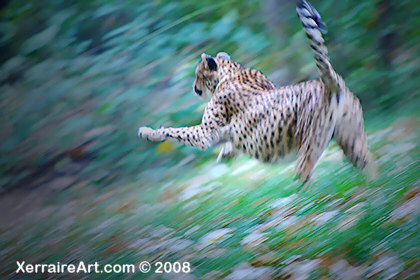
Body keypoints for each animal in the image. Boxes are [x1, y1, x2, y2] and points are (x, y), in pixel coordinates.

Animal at [139, 0, 378, 183]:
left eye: (198, 74)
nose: (194, 88)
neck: (231, 72)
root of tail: (328, 84)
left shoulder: (205, 134)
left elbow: (175, 131)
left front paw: (148, 132)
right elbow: (227, 142)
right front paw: (226, 153)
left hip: (308, 150)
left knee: (308, 183)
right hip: (353, 143)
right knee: (370, 167)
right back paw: (374, 198)